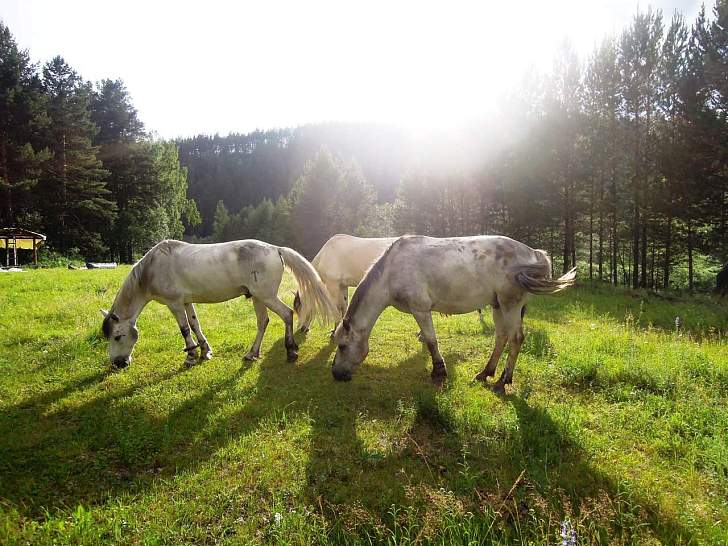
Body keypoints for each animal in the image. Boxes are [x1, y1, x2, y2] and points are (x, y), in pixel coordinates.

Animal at [101, 238, 336, 366]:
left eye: (118, 336)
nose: (118, 364)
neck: (152, 269)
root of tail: (275, 248)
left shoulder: (174, 303)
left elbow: (184, 329)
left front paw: (190, 357)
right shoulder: (186, 302)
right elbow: (195, 324)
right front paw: (205, 351)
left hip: (266, 296)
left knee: (287, 314)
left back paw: (291, 351)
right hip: (258, 297)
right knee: (263, 322)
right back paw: (251, 354)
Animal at [332, 234, 576, 392]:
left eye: (342, 346)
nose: (335, 374)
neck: (391, 273)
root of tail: (533, 253)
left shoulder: (420, 310)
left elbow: (431, 341)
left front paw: (439, 372)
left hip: (511, 305)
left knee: (516, 338)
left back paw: (502, 381)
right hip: (498, 306)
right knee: (501, 338)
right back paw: (486, 373)